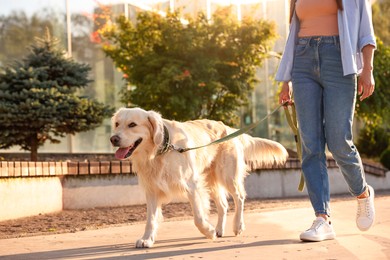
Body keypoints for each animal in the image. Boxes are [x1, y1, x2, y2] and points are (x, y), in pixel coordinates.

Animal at [109, 107, 286, 248]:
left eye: (132, 124)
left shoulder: (192, 185)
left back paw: (237, 226)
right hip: (211, 181)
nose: (113, 139)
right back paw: (219, 229)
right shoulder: (152, 189)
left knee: (239, 198)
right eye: (117, 124)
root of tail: (228, 128)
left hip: (227, 175)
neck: (162, 150)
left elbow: (198, 218)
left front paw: (208, 232)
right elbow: (150, 219)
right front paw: (147, 239)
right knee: (223, 205)